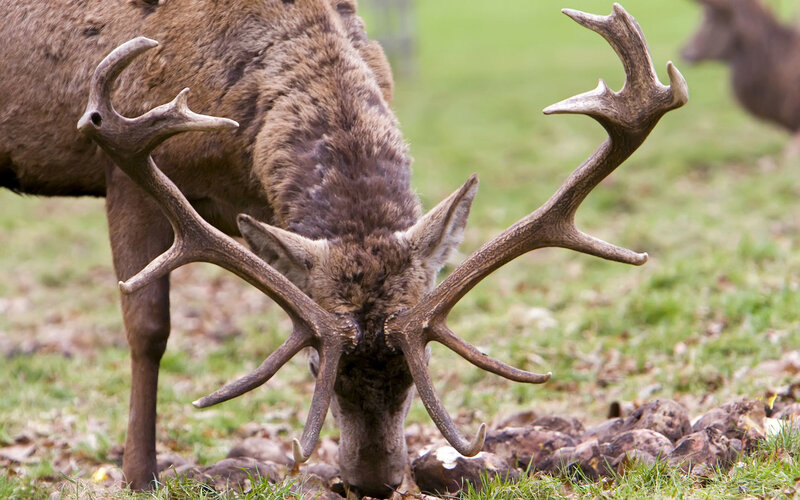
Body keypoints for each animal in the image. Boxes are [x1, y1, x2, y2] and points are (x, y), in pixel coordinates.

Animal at [2, 0, 686, 496]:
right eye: (314, 367)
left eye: (418, 371)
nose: (374, 484)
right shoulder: (123, 165)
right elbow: (147, 327)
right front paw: (139, 476)